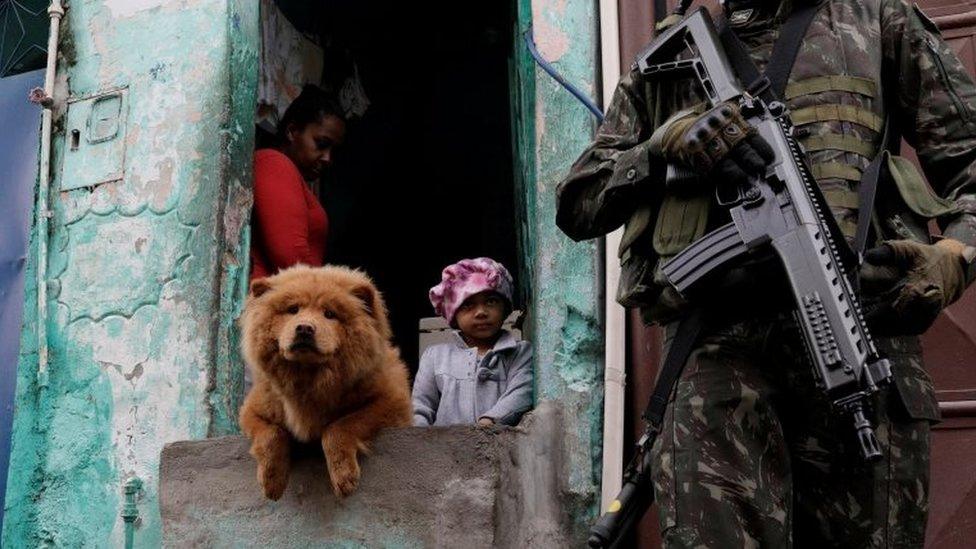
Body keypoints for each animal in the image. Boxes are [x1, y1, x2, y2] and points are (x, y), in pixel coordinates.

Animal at [242, 264, 414, 498]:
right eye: (293, 310)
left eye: (330, 314)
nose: (304, 328)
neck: (308, 379)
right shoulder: (252, 409)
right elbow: (270, 434)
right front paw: (271, 483)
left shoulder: (390, 402)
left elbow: (340, 426)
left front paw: (344, 478)